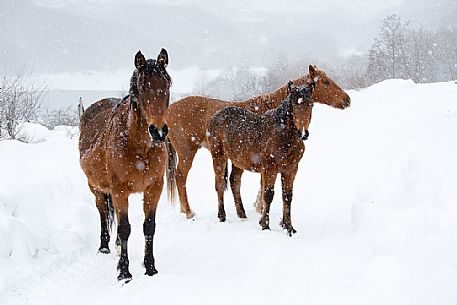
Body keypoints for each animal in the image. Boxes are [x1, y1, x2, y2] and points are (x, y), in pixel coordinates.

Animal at [78, 49, 171, 280]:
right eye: (142, 88)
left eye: (166, 86)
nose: (159, 131)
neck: (138, 147)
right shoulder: (119, 190)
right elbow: (125, 228)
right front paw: (124, 272)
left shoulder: (154, 187)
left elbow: (149, 227)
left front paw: (150, 267)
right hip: (97, 188)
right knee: (103, 212)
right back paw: (104, 247)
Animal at [166, 64, 350, 217]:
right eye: (325, 82)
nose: (347, 100)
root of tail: (169, 110)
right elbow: (263, 185)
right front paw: (260, 208)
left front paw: (258, 207)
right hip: (188, 152)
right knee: (180, 177)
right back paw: (188, 211)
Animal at [206, 81, 314, 235]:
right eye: (294, 103)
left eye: (311, 104)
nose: (303, 133)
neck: (283, 136)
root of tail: (215, 117)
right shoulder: (270, 169)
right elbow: (268, 195)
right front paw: (265, 226)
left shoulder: (291, 170)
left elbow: (287, 196)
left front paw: (289, 228)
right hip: (218, 156)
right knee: (220, 184)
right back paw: (222, 216)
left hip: (238, 161)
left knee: (235, 181)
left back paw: (242, 214)